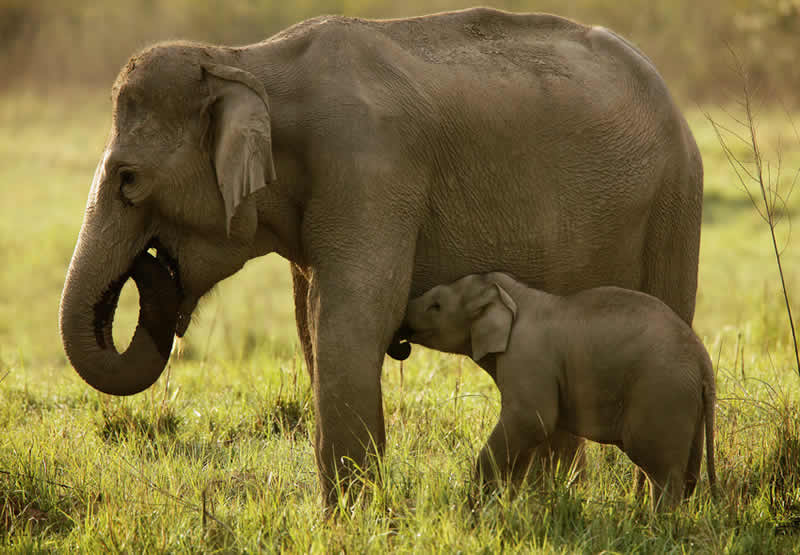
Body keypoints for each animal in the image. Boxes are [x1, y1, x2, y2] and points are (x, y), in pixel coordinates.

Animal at [404, 272, 716, 510]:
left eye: (436, 306)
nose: (400, 334)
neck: (513, 293)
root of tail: (703, 361)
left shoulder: (528, 356)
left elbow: (532, 420)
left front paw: (477, 507)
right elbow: (526, 437)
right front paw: (505, 504)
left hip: (662, 393)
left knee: (661, 471)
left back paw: (656, 526)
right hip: (687, 403)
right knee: (687, 474)